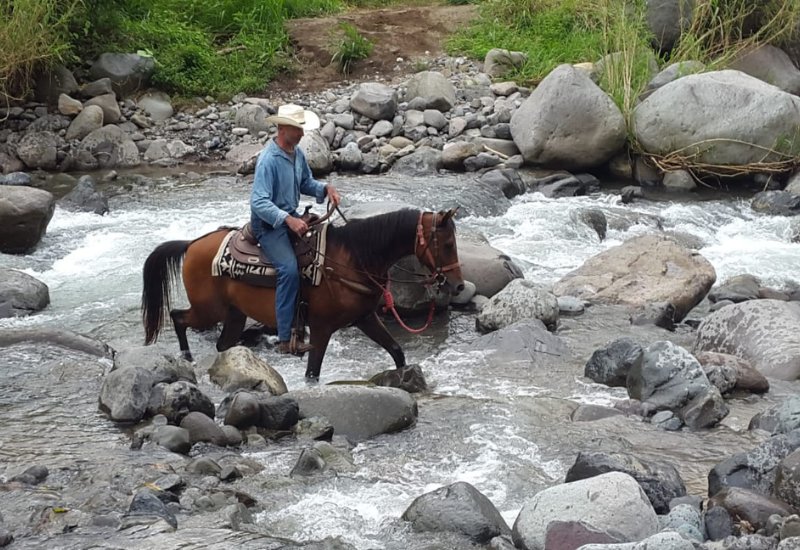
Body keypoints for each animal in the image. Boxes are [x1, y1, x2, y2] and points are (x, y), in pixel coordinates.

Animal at [141, 208, 465, 380]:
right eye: (448, 244)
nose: (459, 285)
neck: (351, 259)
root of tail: (191, 243)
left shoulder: (365, 318)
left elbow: (396, 350)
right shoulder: (321, 328)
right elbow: (313, 372)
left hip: (234, 314)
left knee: (223, 344)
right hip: (208, 310)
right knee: (178, 317)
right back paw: (186, 356)